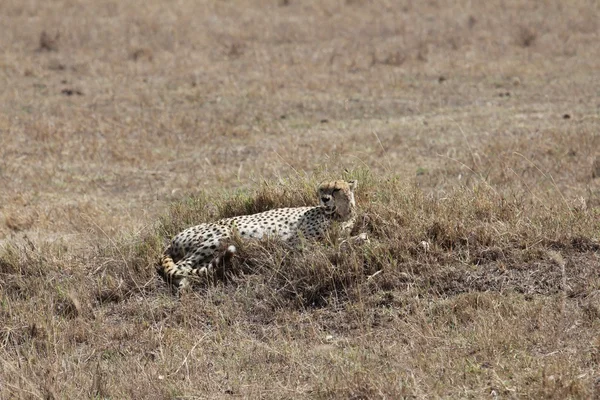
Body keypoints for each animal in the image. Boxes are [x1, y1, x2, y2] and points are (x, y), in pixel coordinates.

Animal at [157, 180, 358, 290]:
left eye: (336, 189)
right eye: (321, 190)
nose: (324, 199)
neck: (340, 215)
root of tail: (173, 239)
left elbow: (345, 239)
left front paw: (358, 238)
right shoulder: (298, 243)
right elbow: (329, 244)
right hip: (221, 235)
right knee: (181, 266)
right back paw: (184, 286)